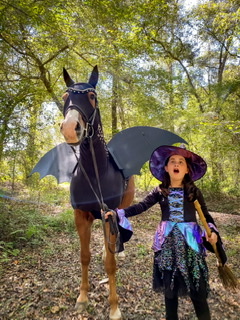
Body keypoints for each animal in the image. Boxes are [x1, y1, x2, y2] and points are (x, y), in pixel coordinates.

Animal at [59, 65, 135, 320]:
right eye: (65, 96)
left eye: (91, 96)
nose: (70, 128)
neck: (95, 172)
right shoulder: (81, 216)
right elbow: (85, 257)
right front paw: (82, 298)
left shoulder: (109, 214)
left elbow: (110, 265)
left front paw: (114, 307)